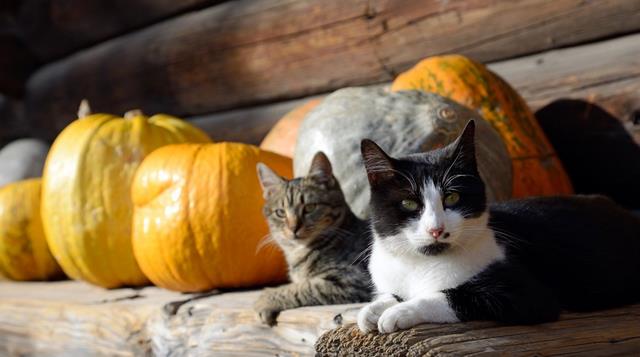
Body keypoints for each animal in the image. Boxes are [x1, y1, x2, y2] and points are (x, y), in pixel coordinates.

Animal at [254, 152, 370, 324]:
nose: (293, 228)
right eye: (280, 212)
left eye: (309, 207)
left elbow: (304, 288)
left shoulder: (354, 280)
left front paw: (266, 298)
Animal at [358, 121, 640, 332]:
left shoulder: (529, 296)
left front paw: (399, 311)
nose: (436, 229)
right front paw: (372, 310)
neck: (420, 265)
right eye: (408, 203)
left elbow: (450, 296)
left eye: (452, 198)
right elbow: (391, 294)